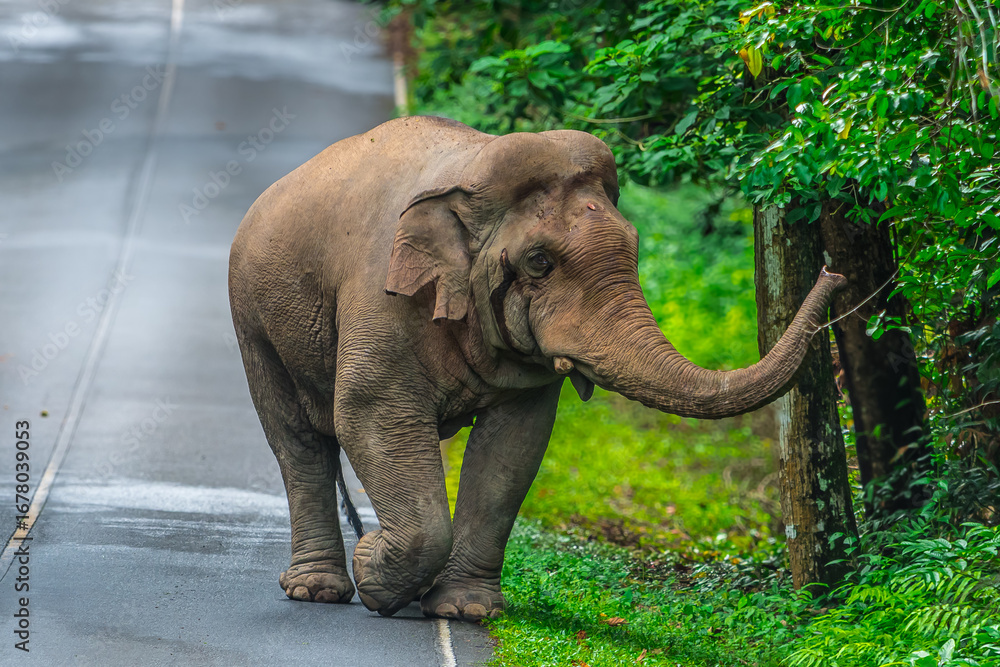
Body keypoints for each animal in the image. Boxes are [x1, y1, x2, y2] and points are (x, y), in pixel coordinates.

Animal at [228, 115, 845, 622]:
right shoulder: (381, 297)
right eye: (540, 262)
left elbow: (515, 442)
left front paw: (464, 611)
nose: (834, 273)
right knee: (297, 438)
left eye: (635, 249)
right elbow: (368, 411)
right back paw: (316, 591)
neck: (473, 175)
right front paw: (376, 572)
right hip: (252, 318)